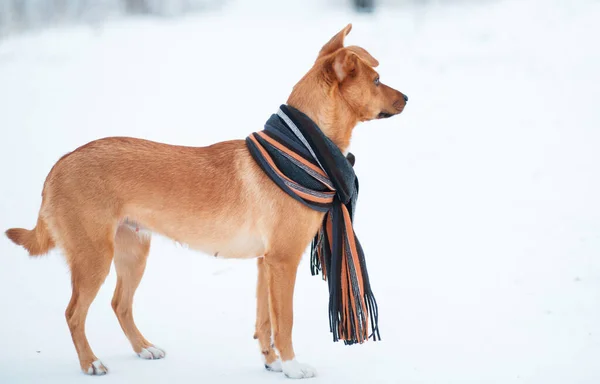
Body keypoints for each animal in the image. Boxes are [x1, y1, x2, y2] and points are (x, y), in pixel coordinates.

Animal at [4, 23, 406, 378]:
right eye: (376, 81)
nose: (407, 98)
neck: (299, 149)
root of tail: (60, 164)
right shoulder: (283, 261)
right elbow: (285, 322)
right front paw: (293, 366)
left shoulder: (265, 263)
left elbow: (265, 321)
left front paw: (272, 362)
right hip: (94, 258)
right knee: (74, 314)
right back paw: (91, 364)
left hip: (133, 251)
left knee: (120, 304)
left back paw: (144, 348)